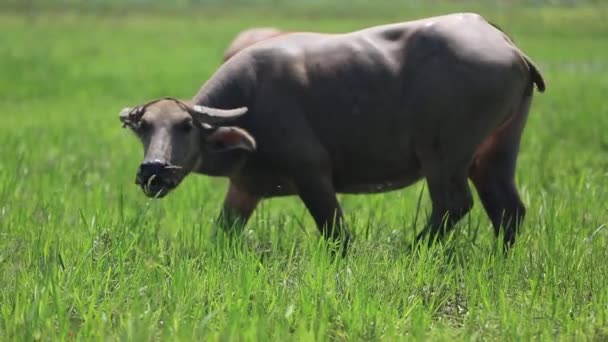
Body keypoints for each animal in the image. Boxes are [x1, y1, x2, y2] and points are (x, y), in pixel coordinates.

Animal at [120, 13, 548, 254]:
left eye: (185, 126)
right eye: (144, 129)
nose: (153, 169)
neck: (251, 106)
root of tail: (505, 44)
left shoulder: (313, 174)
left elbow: (336, 233)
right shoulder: (244, 188)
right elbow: (222, 233)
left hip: (444, 154)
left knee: (453, 203)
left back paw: (412, 251)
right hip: (495, 151)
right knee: (507, 208)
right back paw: (499, 259)